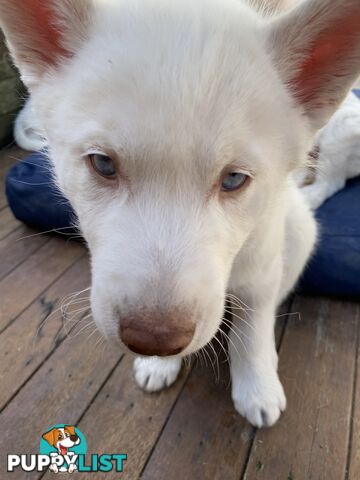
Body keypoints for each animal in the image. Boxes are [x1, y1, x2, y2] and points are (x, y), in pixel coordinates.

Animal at [1, 0, 358, 428]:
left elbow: (253, 323)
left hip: (300, 232)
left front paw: (257, 385)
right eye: (103, 163)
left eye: (234, 179)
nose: (154, 339)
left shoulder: (262, 265)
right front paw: (159, 364)